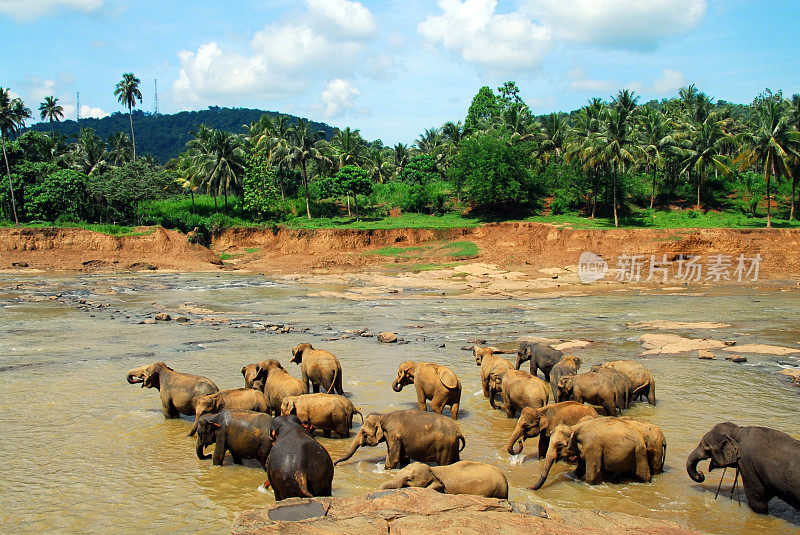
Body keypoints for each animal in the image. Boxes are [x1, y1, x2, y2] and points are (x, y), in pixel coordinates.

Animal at [334, 410, 466, 468]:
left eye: (363, 432)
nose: (334, 463)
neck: (383, 416)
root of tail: (458, 431)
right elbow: (403, 458)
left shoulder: (394, 436)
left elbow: (393, 459)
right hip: (452, 446)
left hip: (445, 446)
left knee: (445, 463)